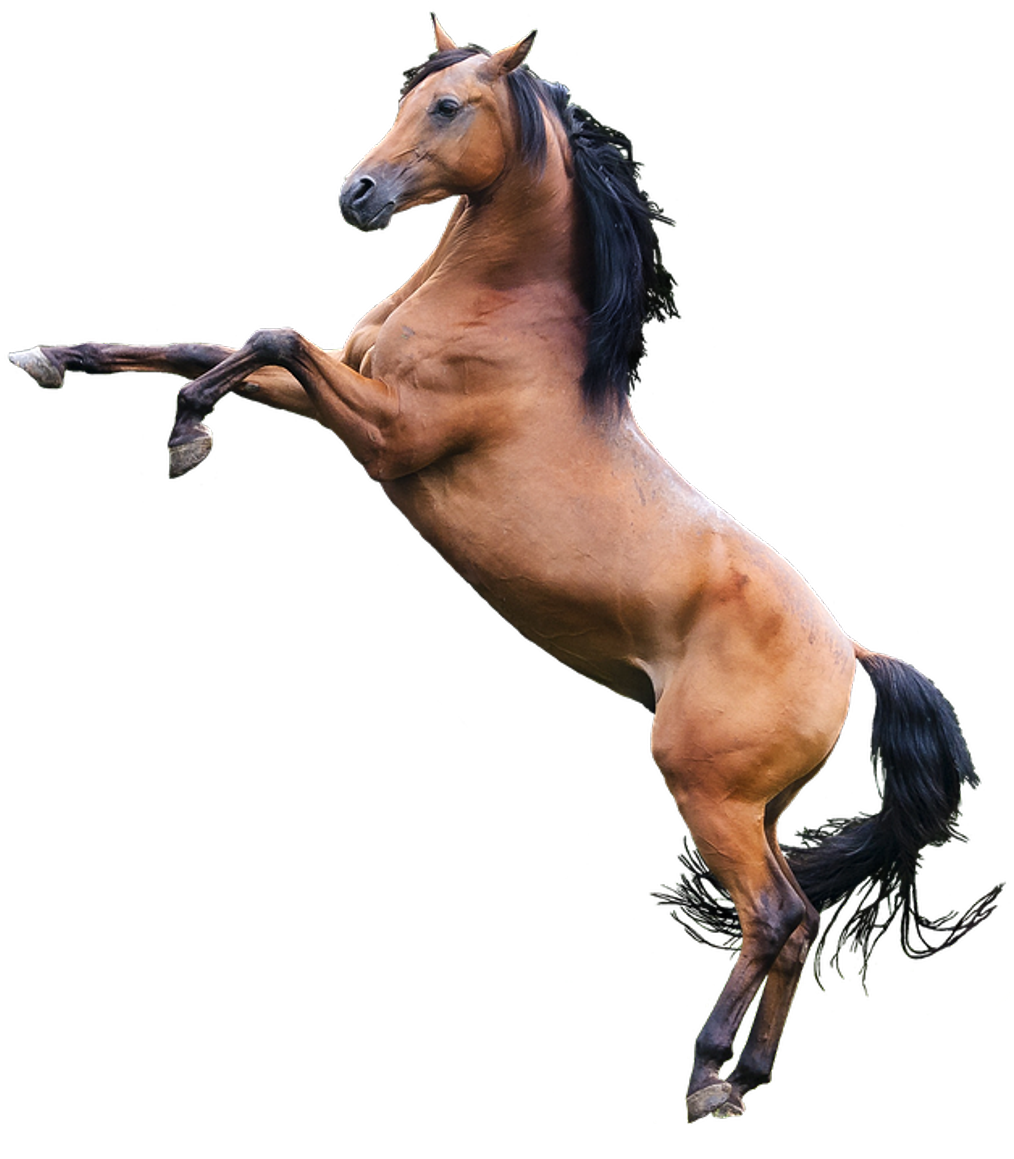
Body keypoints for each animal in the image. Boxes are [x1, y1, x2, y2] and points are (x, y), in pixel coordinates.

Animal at [7, 15, 1000, 1123]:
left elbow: (269, 334)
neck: (505, 321)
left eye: (448, 107)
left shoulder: (386, 436)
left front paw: (188, 438)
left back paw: (707, 1076)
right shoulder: (337, 392)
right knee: (792, 925)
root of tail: (854, 654)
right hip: (762, 808)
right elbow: (204, 344)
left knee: (776, 917)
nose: (356, 194)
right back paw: (743, 1077)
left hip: (707, 790)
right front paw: (53, 360)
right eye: (403, 100)